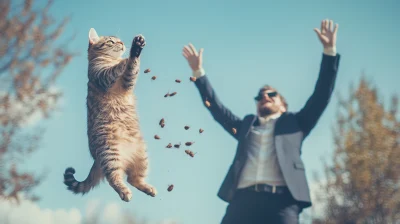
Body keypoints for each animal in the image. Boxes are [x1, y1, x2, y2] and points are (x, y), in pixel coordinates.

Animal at [63, 27, 156, 201]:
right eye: (111, 41)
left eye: (119, 40)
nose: (122, 43)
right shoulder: (103, 75)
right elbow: (123, 65)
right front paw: (132, 51)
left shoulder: (127, 82)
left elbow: (132, 69)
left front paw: (135, 51)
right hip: (111, 155)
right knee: (115, 178)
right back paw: (125, 192)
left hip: (142, 156)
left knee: (133, 179)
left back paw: (148, 188)